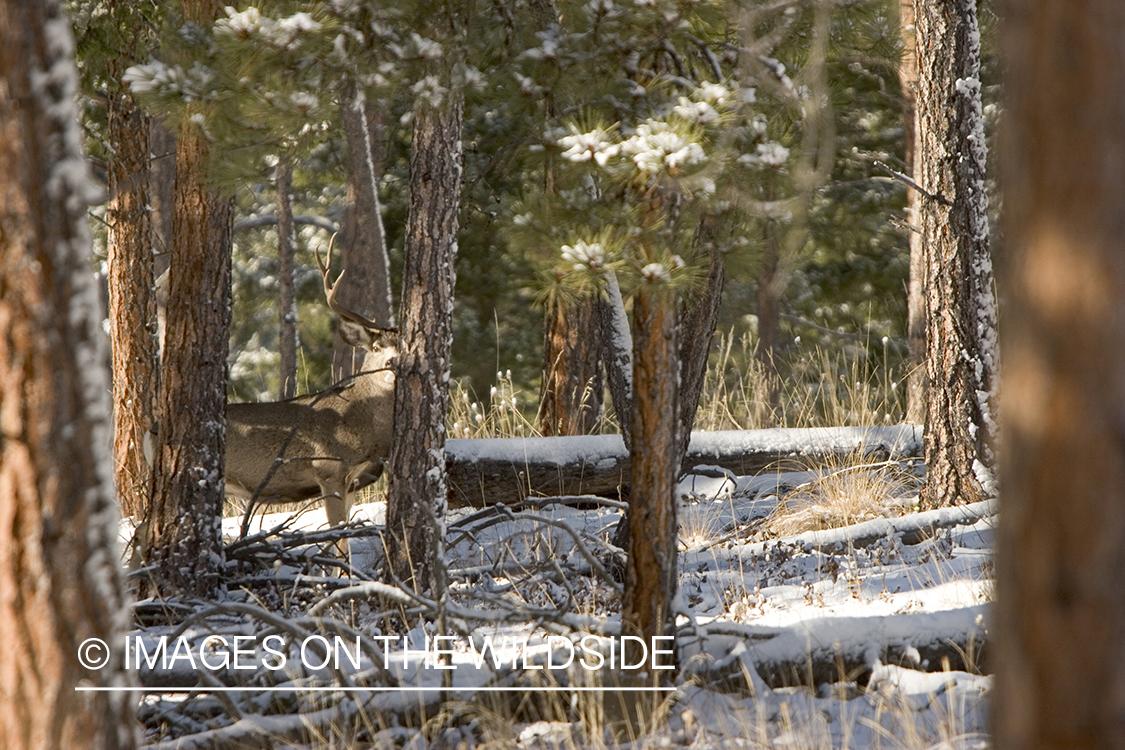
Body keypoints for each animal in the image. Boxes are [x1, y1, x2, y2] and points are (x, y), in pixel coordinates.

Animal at [224, 237, 398, 534]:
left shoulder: (354, 483)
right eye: (376, 347)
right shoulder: (329, 471)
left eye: (408, 346)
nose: (392, 362)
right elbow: (337, 537)